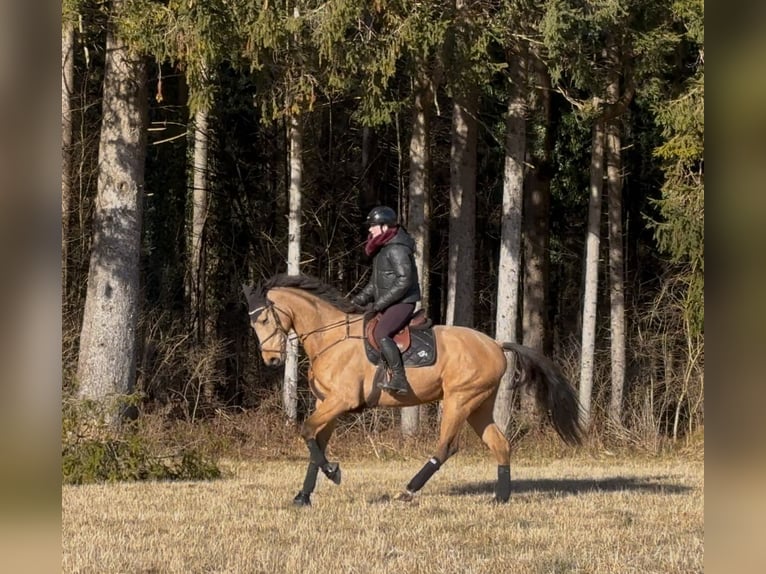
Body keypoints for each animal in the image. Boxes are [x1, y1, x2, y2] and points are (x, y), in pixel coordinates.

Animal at [243, 272, 584, 506]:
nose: (272, 360)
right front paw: (304, 495)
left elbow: (307, 433)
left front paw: (333, 472)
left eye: (264, 318)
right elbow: (315, 442)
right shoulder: (327, 404)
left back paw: (408, 490)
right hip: (479, 405)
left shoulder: (340, 401)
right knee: (500, 445)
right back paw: (500, 498)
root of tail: (496, 345)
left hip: (459, 400)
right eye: (253, 323)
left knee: (446, 447)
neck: (330, 338)